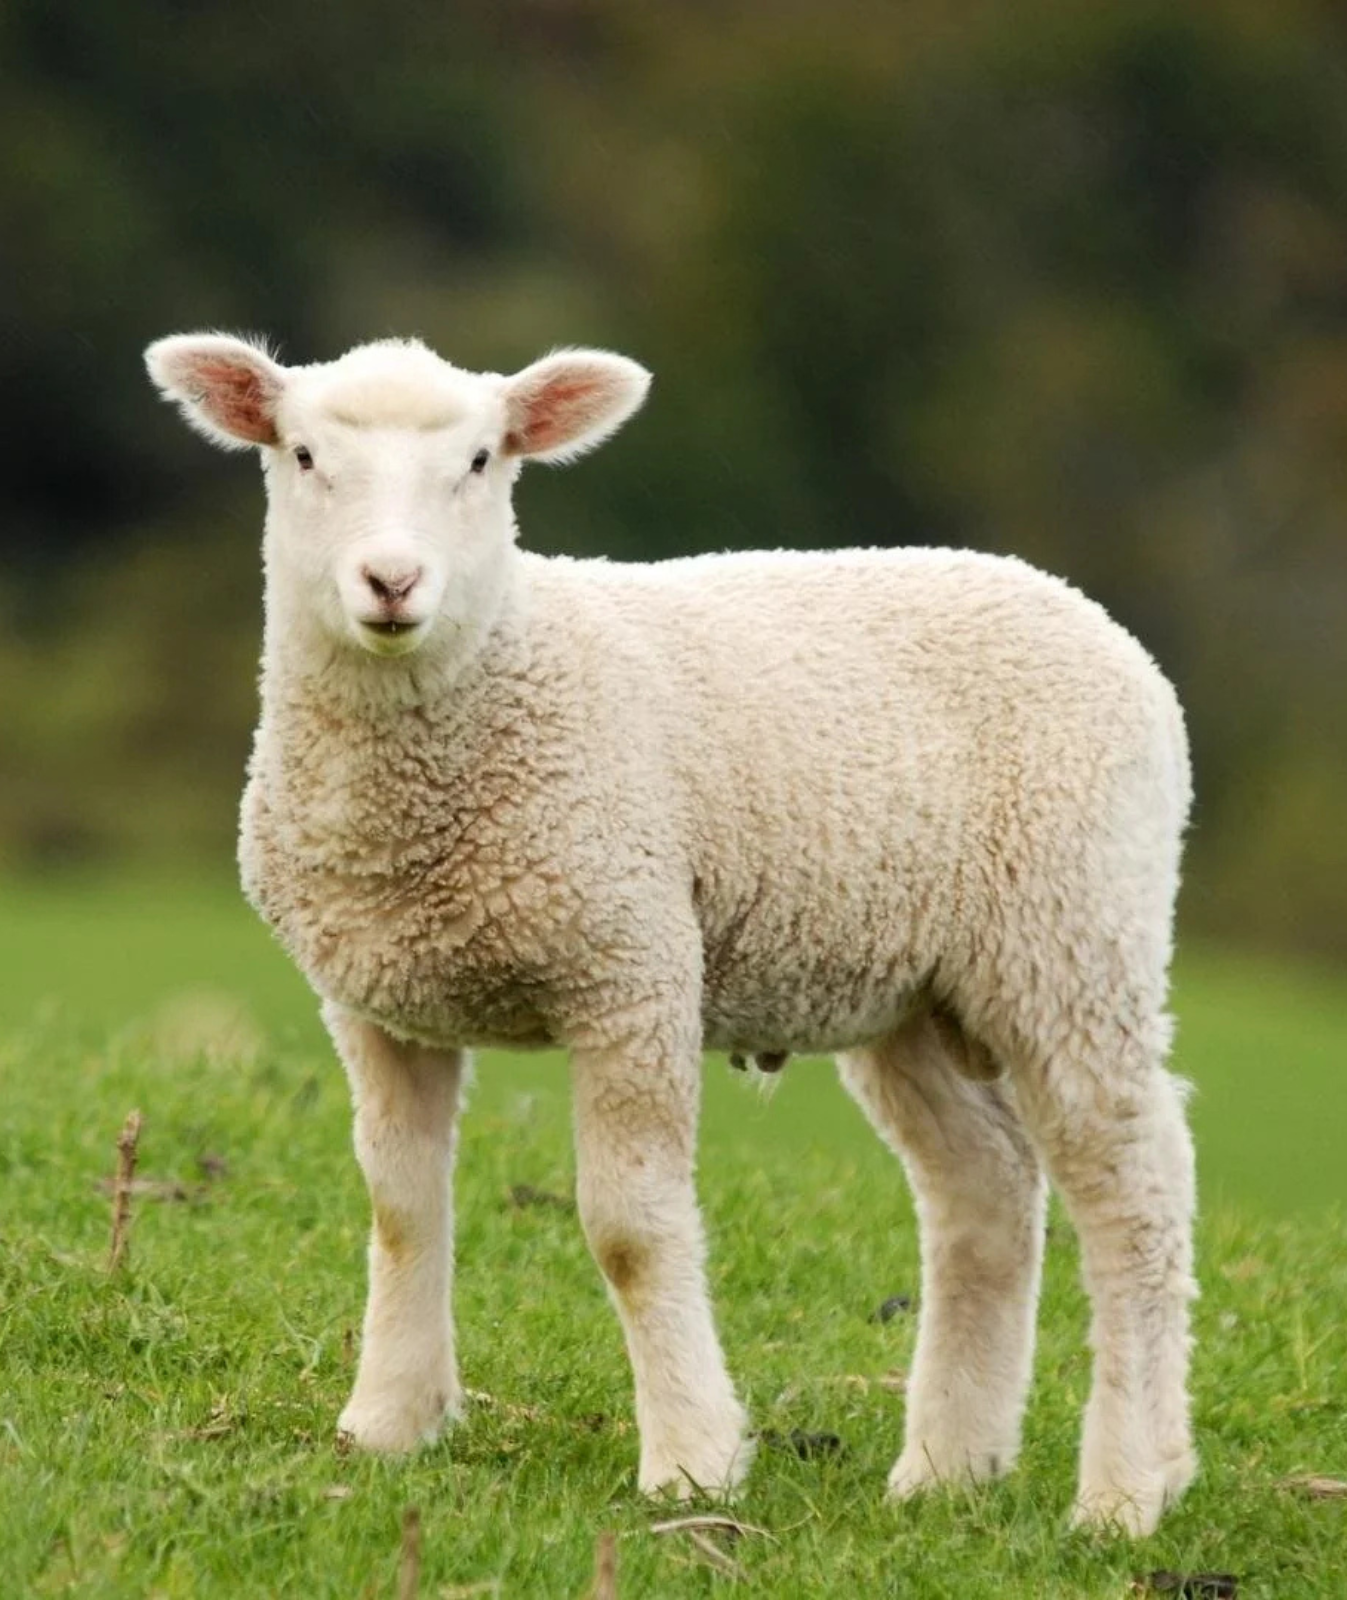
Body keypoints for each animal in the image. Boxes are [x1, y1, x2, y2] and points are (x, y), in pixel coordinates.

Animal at [144, 331, 1197, 1536]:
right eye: (304, 454)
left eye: (482, 460)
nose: (393, 583)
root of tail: (1087, 615)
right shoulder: (375, 1002)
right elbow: (402, 1208)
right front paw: (388, 1426)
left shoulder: (631, 964)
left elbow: (632, 1231)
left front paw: (692, 1462)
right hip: (909, 983)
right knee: (985, 1192)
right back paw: (946, 1469)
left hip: (1074, 934)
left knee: (1134, 1194)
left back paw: (1127, 1488)